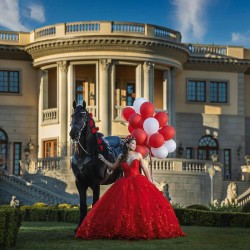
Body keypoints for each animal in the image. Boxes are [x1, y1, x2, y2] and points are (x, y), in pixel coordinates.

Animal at [69, 100, 122, 232]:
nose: (73, 133)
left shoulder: (96, 182)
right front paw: (79, 227)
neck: (84, 155)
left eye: (83, 115)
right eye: (72, 115)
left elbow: (94, 204)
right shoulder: (80, 182)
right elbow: (83, 205)